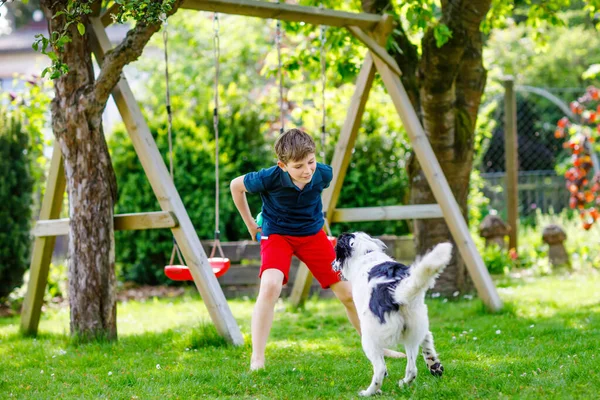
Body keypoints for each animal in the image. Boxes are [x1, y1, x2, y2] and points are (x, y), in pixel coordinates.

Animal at [332, 233, 450, 396]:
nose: (332, 264)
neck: (366, 253)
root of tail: (396, 293)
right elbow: (428, 340)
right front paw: (435, 366)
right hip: (413, 330)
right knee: (412, 369)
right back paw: (406, 382)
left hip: (369, 340)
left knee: (381, 369)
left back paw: (369, 392)